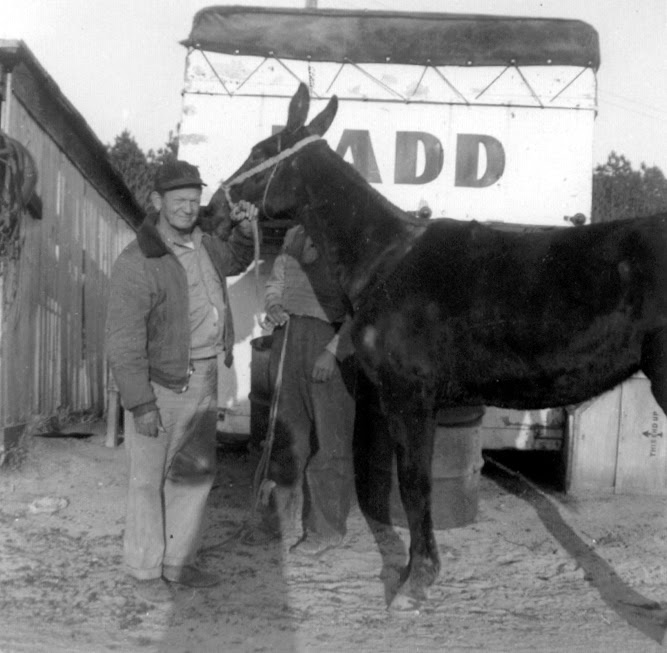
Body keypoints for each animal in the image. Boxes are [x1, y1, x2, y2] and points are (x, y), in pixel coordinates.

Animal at [209, 83, 667, 612]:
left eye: (259, 152)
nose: (211, 209)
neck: (385, 257)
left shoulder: (409, 392)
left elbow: (413, 483)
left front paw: (416, 580)